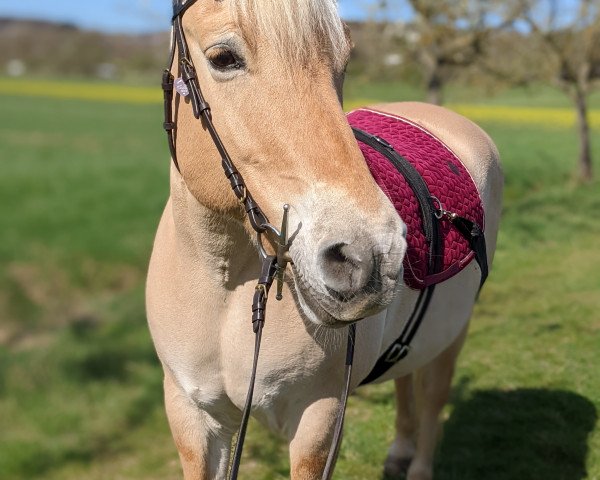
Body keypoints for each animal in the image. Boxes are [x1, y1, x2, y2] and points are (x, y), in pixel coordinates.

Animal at [145, 1, 502, 478]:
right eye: (223, 58)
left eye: (344, 61)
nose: (367, 258)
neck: (225, 285)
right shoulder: (193, 415)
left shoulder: (320, 418)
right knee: (406, 378)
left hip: (453, 333)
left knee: (431, 397)